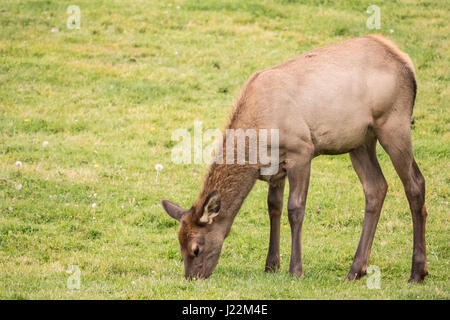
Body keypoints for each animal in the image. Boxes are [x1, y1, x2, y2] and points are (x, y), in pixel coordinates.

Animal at [162, 35, 428, 282]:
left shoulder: (301, 150)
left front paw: (295, 269)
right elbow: (273, 206)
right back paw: (356, 269)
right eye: (179, 247)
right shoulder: (274, 167)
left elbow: (295, 208)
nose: (191, 277)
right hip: (360, 141)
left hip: (394, 123)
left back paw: (417, 272)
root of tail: (406, 62)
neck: (259, 133)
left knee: (415, 183)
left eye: (196, 248)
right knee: (376, 187)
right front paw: (271, 264)